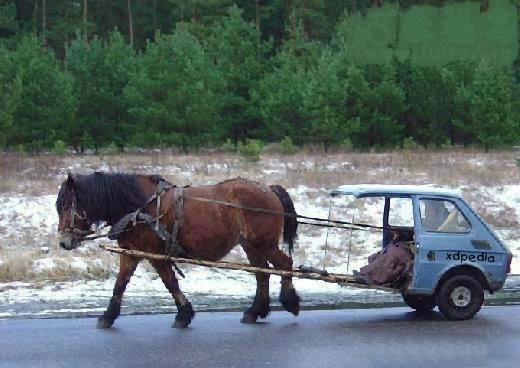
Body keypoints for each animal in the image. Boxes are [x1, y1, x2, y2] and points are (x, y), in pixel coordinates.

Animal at [55, 172, 300, 328]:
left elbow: (170, 282)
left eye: (67, 205)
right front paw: (108, 316)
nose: (64, 242)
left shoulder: (155, 253)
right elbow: (120, 285)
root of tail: (269, 189)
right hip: (251, 245)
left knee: (284, 264)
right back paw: (255, 311)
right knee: (262, 273)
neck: (140, 207)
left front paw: (183, 315)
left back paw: (290, 301)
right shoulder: (131, 253)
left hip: (264, 242)